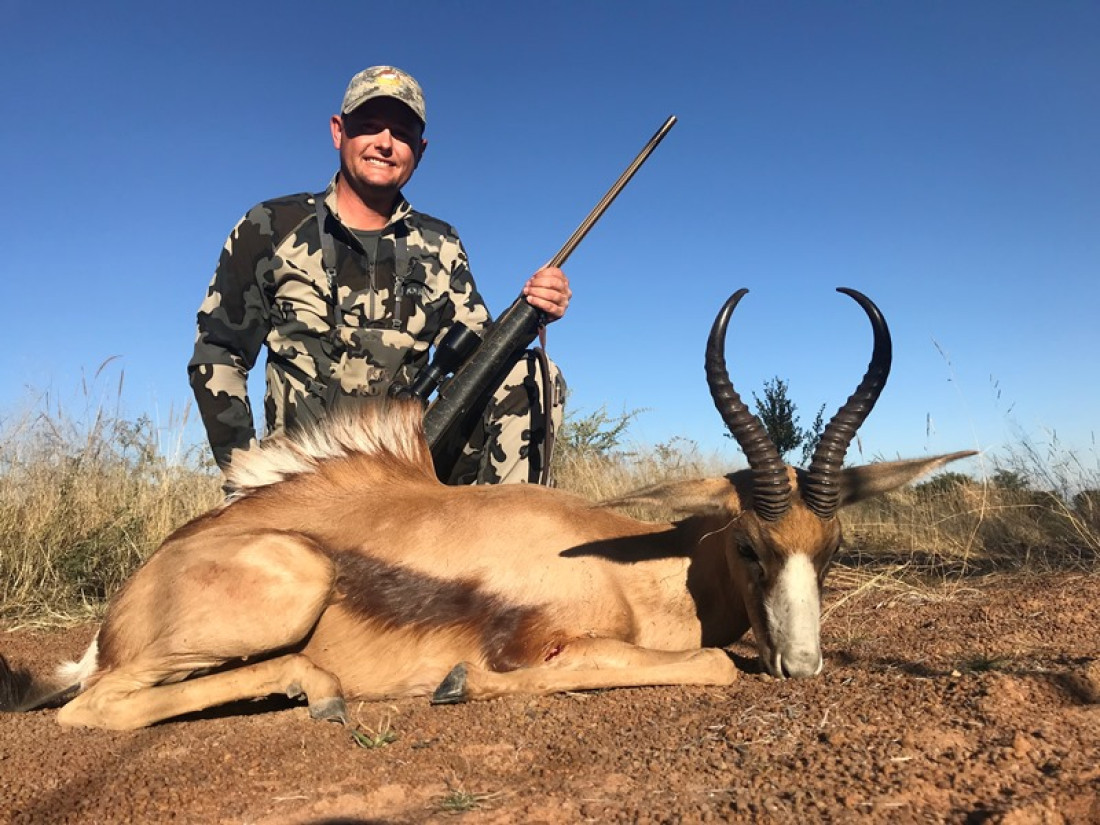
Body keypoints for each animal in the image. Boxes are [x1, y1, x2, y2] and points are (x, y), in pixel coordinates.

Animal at [2, 288, 972, 730]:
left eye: (832, 548)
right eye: (749, 546)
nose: (803, 667)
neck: (631, 563)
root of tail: (119, 612)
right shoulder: (539, 640)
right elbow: (706, 665)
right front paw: (459, 682)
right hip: (290, 583)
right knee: (92, 708)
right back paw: (321, 690)